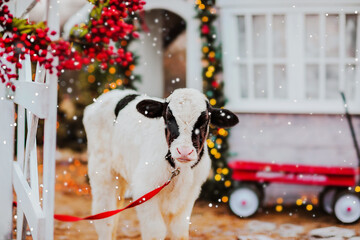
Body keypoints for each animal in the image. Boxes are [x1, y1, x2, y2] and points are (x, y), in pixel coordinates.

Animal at [82, 88, 238, 240]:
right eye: (168, 117)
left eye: (205, 120)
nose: (184, 151)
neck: (179, 170)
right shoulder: (144, 189)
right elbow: (155, 232)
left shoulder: (190, 193)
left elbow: (179, 231)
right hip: (102, 170)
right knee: (105, 217)